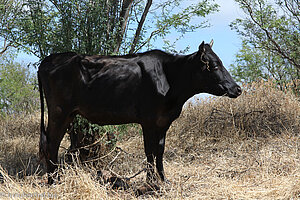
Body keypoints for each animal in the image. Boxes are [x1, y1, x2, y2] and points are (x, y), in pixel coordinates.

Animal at [37, 41, 241, 184]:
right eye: (214, 66)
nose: (237, 88)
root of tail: (51, 59)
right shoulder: (148, 121)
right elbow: (150, 151)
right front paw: (151, 182)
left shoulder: (163, 121)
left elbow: (160, 150)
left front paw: (163, 180)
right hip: (59, 112)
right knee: (51, 144)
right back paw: (54, 181)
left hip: (68, 114)